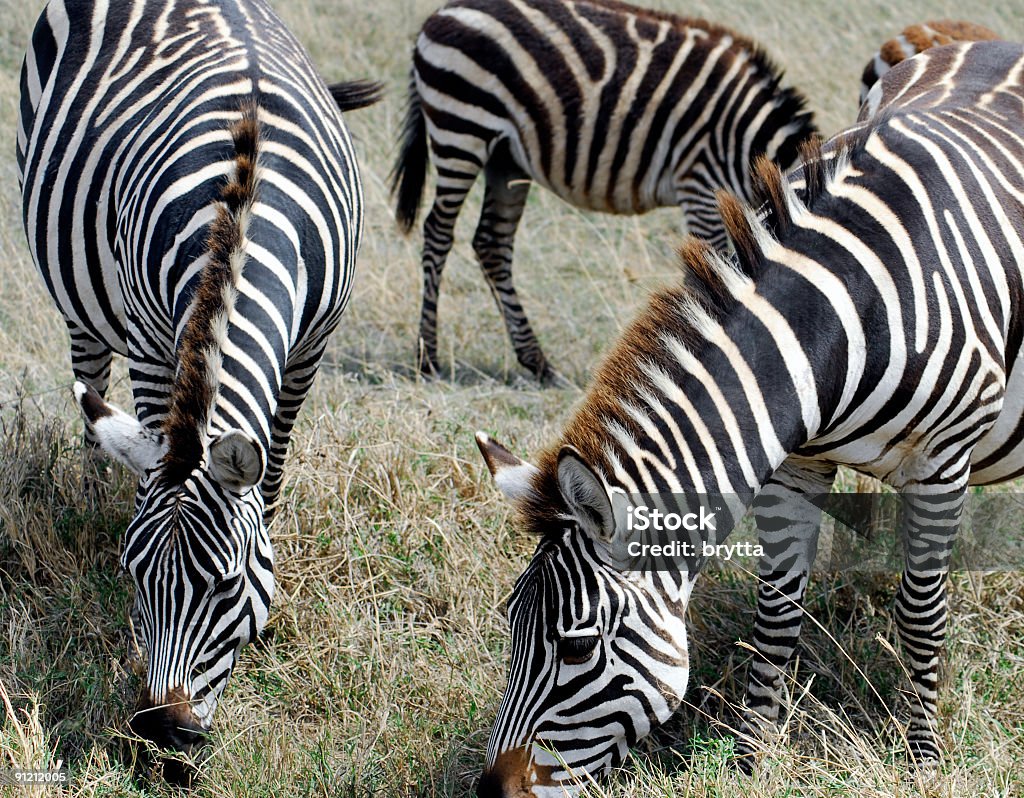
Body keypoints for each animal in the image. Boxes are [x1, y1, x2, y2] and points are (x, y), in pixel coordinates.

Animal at [18, 0, 378, 778]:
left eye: (228, 585)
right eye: (134, 576)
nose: (162, 736)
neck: (241, 207)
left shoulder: (310, 348)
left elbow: (272, 466)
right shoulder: (154, 339)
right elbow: (155, 431)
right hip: (78, 288)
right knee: (89, 375)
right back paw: (92, 485)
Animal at [391, 0, 815, 383]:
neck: (750, 144)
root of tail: (440, 13)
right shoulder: (702, 184)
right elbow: (713, 275)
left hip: (504, 158)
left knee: (491, 243)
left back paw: (536, 362)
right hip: (461, 129)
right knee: (438, 233)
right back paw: (428, 358)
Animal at [475, 40, 1024, 794]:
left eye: (577, 647)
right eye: (508, 625)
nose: (489, 791)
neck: (841, 322)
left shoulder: (940, 465)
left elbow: (919, 614)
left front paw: (923, 761)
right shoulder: (796, 464)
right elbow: (777, 612)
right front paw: (752, 755)